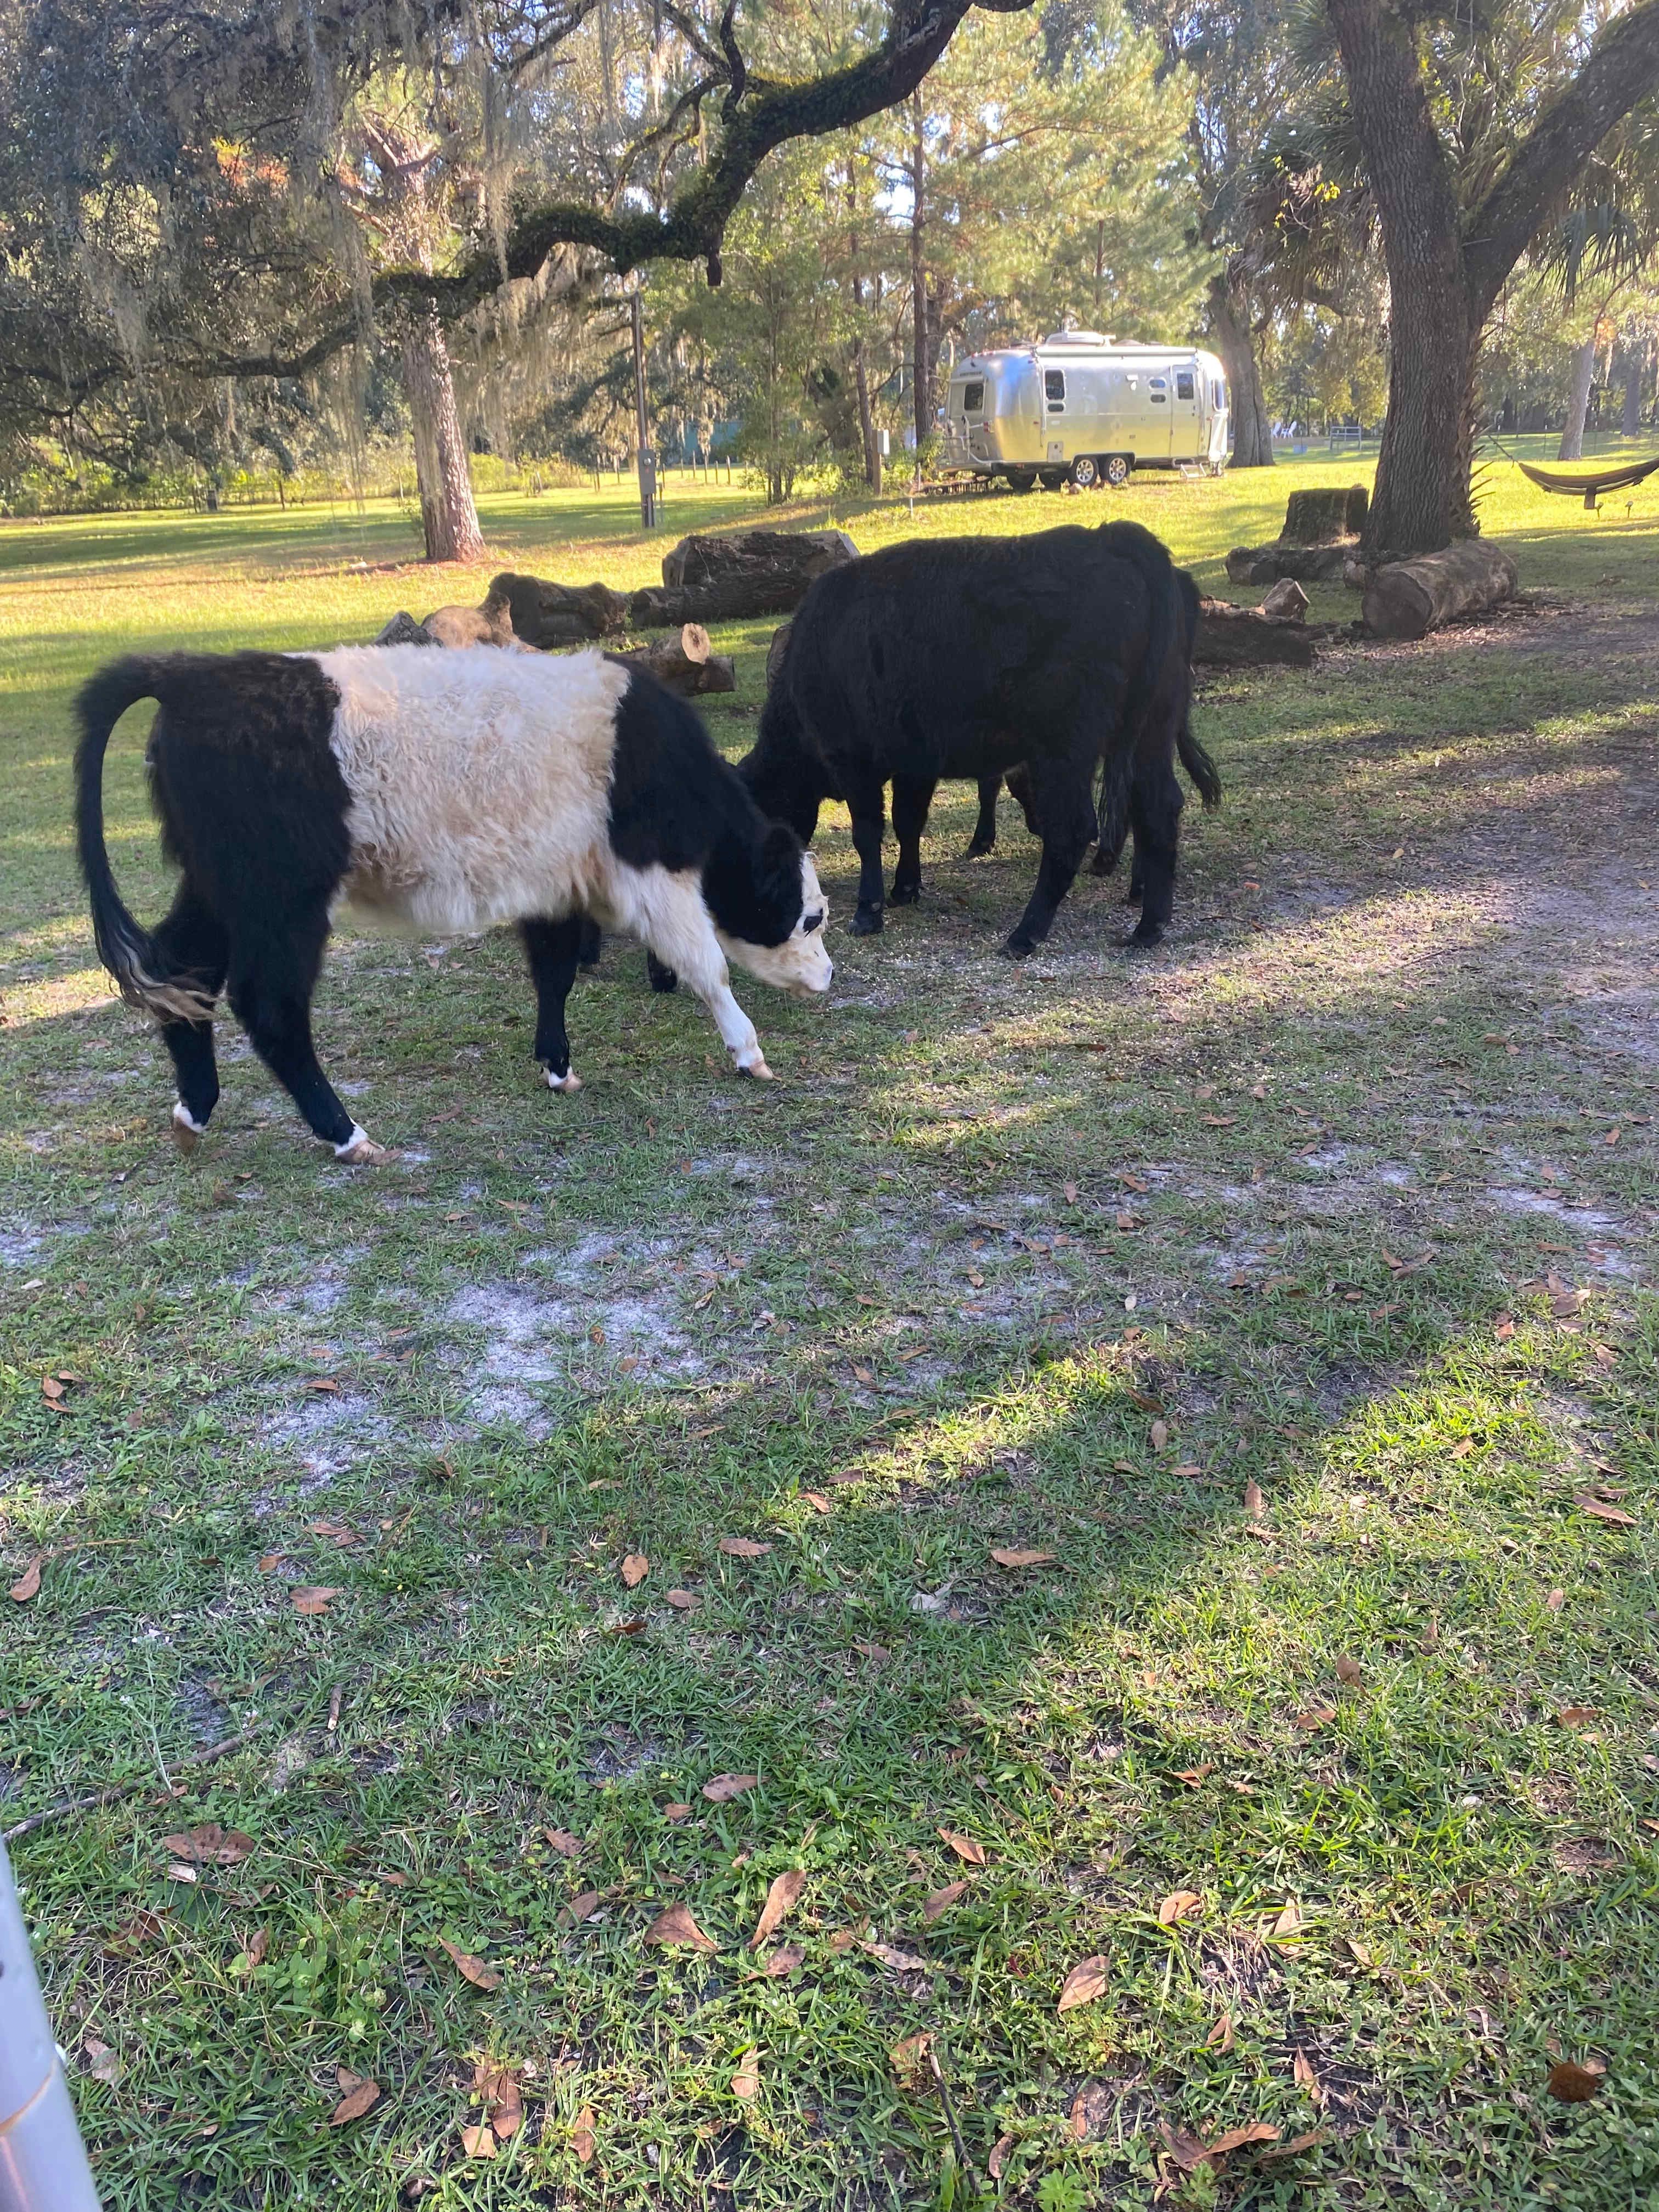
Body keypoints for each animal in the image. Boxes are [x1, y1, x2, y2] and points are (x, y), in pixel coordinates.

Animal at [74, 646, 831, 1163]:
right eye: (811, 916)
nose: (827, 977)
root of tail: (187, 676)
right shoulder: (652, 874)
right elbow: (708, 967)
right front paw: (748, 1052)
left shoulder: (556, 882)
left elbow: (554, 975)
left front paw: (557, 1067)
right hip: (281, 902)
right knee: (269, 1009)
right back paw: (346, 1134)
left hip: (220, 887)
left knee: (184, 972)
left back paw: (195, 1110)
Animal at [743, 520, 1217, 956]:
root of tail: (1108, 536)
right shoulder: (914, 763)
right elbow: (908, 821)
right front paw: (905, 889)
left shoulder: (852, 759)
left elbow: (868, 832)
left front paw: (868, 911)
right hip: (1148, 733)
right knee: (1158, 808)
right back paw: (1148, 927)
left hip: (1065, 749)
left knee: (1074, 828)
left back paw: (1026, 933)